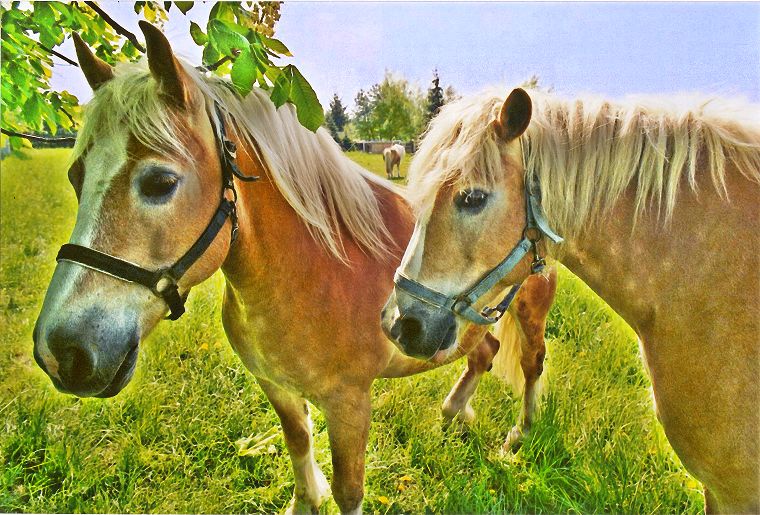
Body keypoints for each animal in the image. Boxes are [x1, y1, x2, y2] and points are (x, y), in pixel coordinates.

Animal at [29, 24, 556, 515]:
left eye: (160, 182)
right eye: (76, 177)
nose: (63, 352)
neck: (309, 275)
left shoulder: (349, 406)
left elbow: (349, 490)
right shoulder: (277, 387)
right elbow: (298, 442)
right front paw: (305, 499)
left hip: (529, 314)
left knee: (531, 363)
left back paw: (519, 439)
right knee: (483, 352)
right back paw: (454, 413)